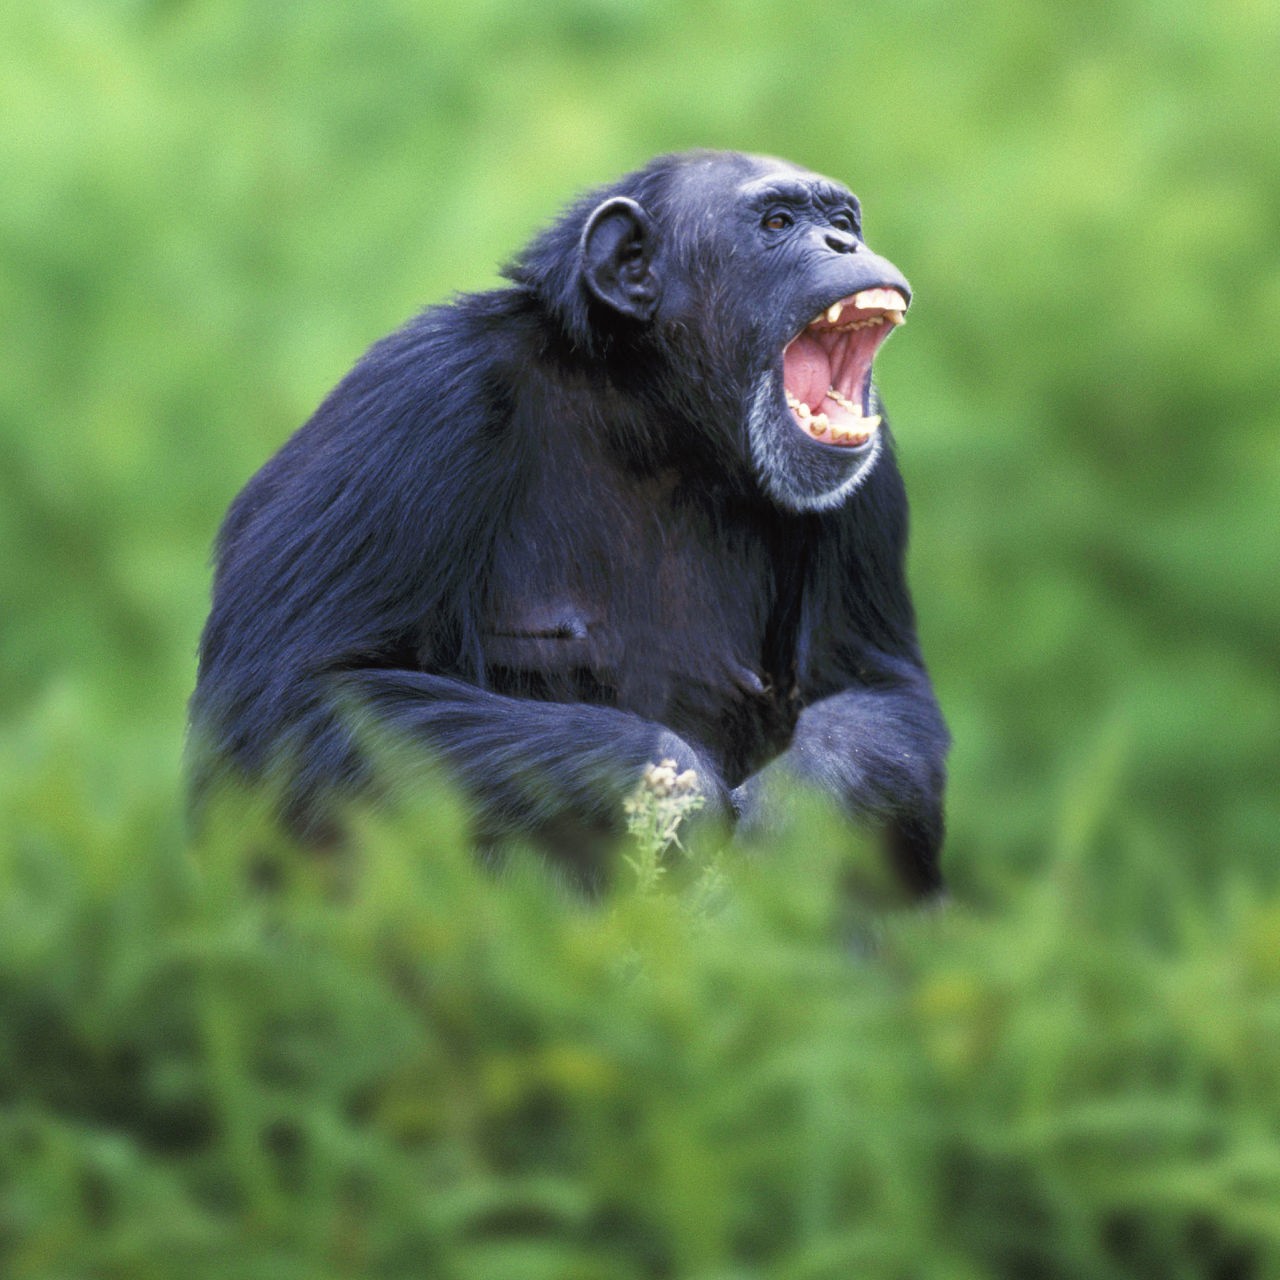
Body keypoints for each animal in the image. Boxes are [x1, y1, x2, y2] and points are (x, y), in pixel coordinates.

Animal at [192, 149, 952, 896]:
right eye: (778, 222)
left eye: (843, 220)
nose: (844, 244)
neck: (653, 415)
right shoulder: (420, 396)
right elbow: (290, 697)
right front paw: (684, 790)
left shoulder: (871, 485)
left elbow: (879, 686)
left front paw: (796, 806)